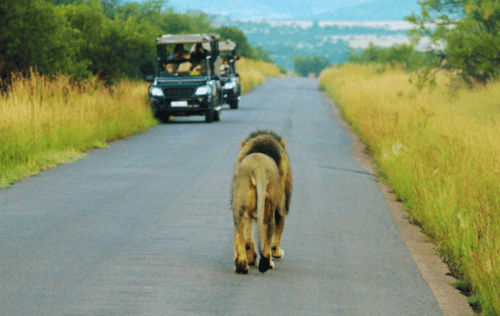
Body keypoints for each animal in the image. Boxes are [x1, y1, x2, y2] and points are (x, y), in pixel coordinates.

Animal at [231, 131, 292, 274]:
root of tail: (259, 168)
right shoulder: (281, 206)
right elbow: (278, 230)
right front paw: (277, 253)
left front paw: (251, 258)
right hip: (270, 207)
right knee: (268, 236)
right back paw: (268, 263)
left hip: (240, 205)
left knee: (239, 233)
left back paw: (241, 265)